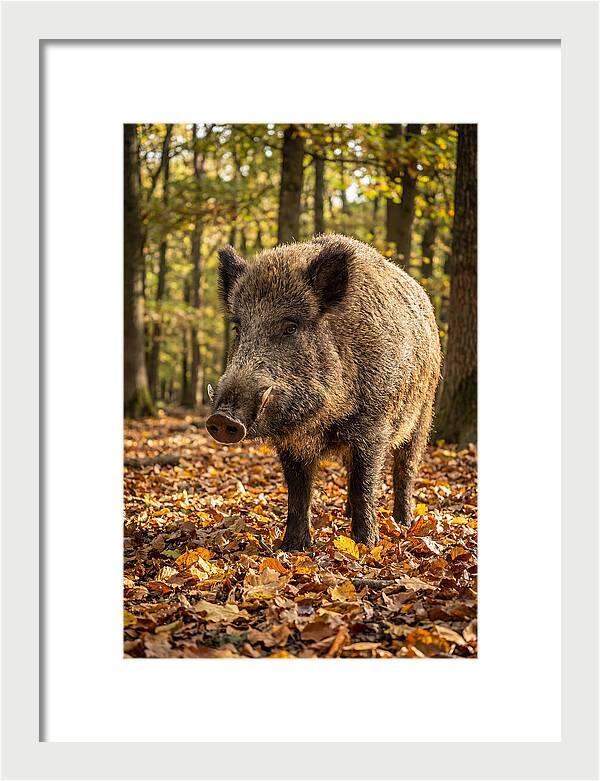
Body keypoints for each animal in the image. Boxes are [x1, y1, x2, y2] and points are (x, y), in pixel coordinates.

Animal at [206, 234, 441, 551]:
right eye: (238, 328)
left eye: (290, 327)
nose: (222, 418)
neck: (322, 420)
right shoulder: (292, 443)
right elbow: (298, 492)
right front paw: (292, 547)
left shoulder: (374, 426)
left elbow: (364, 485)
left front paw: (366, 545)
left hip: (423, 412)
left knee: (405, 469)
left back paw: (403, 522)